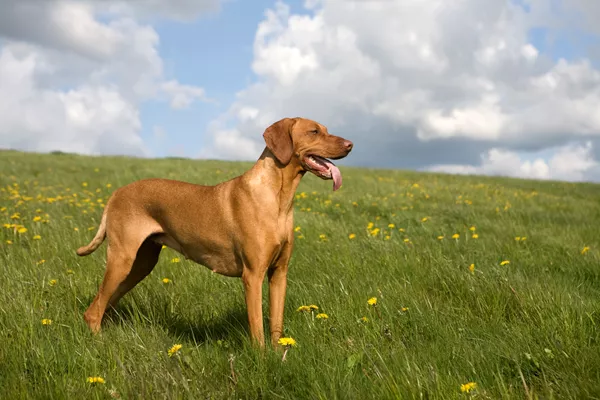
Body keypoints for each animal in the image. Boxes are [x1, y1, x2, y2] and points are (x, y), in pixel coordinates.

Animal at [77, 116, 354, 346]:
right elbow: (257, 329)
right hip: (122, 259)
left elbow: (276, 324)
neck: (278, 198)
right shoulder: (252, 275)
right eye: (314, 131)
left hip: (141, 264)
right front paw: (262, 359)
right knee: (93, 311)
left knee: (104, 304)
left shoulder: (279, 273)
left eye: (326, 129)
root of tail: (116, 193)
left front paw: (279, 357)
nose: (351, 144)